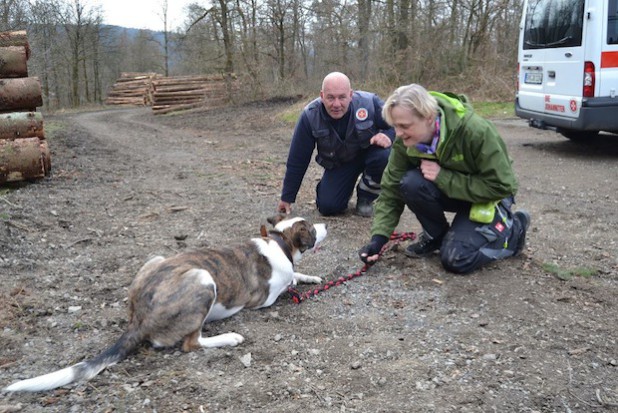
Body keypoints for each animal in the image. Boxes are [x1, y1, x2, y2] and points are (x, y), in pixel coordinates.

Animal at [4, 214, 324, 392]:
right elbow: (287, 282)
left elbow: (298, 274)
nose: (325, 224)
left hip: (157, 259)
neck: (280, 241)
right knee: (191, 343)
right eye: (311, 227)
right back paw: (229, 337)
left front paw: (310, 276)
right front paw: (298, 280)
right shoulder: (265, 298)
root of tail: (138, 319)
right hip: (203, 279)